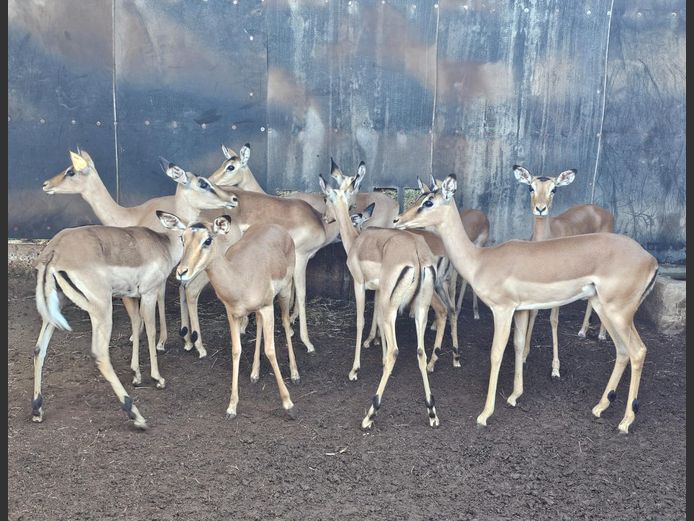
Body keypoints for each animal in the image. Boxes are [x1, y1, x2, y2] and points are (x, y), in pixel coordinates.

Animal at [158, 213, 298, 419]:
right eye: (182, 238)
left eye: (207, 240)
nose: (182, 272)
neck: (239, 278)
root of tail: (278, 228)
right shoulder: (233, 314)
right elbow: (236, 350)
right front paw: (231, 407)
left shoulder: (267, 307)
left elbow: (271, 350)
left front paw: (288, 403)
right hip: (259, 309)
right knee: (259, 324)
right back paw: (254, 373)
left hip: (285, 292)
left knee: (287, 324)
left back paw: (295, 374)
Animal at [319, 159, 442, 428]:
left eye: (326, 197)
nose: (324, 217)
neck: (356, 241)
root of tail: (417, 254)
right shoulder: (378, 292)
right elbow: (376, 322)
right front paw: (380, 354)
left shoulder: (359, 285)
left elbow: (360, 320)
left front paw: (355, 370)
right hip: (418, 308)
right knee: (420, 351)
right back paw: (431, 411)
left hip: (393, 305)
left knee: (398, 349)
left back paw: (370, 413)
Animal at [514, 165, 614, 378]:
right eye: (531, 187)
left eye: (554, 189)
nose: (540, 208)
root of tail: (605, 212)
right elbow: (534, 313)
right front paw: (525, 355)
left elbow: (553, 320)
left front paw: (555, 368)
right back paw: (583, 331)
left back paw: (601, 334)